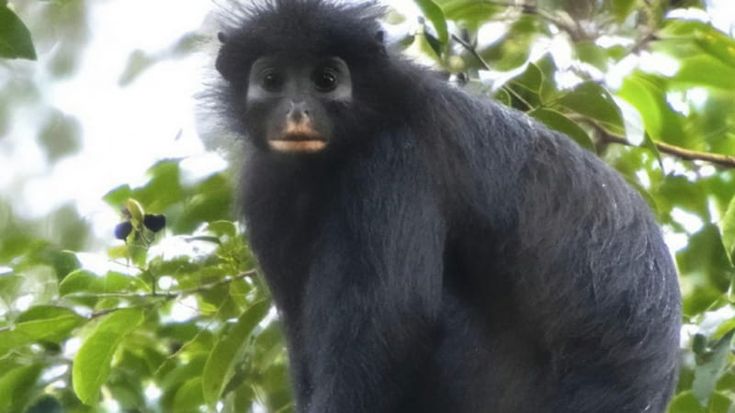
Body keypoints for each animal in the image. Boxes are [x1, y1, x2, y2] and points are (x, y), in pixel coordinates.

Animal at [212, 1, 681, 412]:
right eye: (272, 80)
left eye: (325, 80)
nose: (297, 111)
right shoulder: (267, 189)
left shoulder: (395, 158)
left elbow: (394, 323)